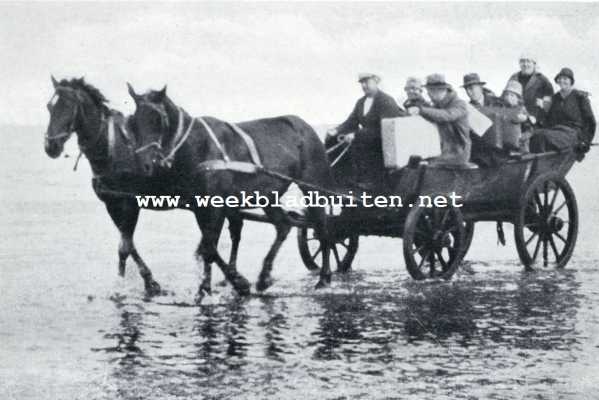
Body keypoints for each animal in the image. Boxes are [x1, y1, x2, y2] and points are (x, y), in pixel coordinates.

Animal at [43, 76, 246, 298]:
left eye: (68, 106)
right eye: (49, 107)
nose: (51, 146)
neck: (111, 148)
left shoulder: (130, 202)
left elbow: (125, 246)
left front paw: (143, 282)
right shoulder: (113, 203)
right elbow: (127, 245)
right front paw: (139, 281)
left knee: (227, 234)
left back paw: (232, 277)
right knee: (223, 235)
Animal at [126, 83, 336, 296]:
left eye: (158, 119)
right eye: (133, 122)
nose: (146, 164)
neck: (199, 146)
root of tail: (304, 126)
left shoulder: (215, 206)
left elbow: (209, 247)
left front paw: (226, 284)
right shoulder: (200, 206)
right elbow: (209, 246)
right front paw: (209, 286)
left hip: (312, 187)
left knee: (323, 229)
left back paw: (324, 278)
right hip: (268, 195)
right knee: (283, 225)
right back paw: (264, 276)